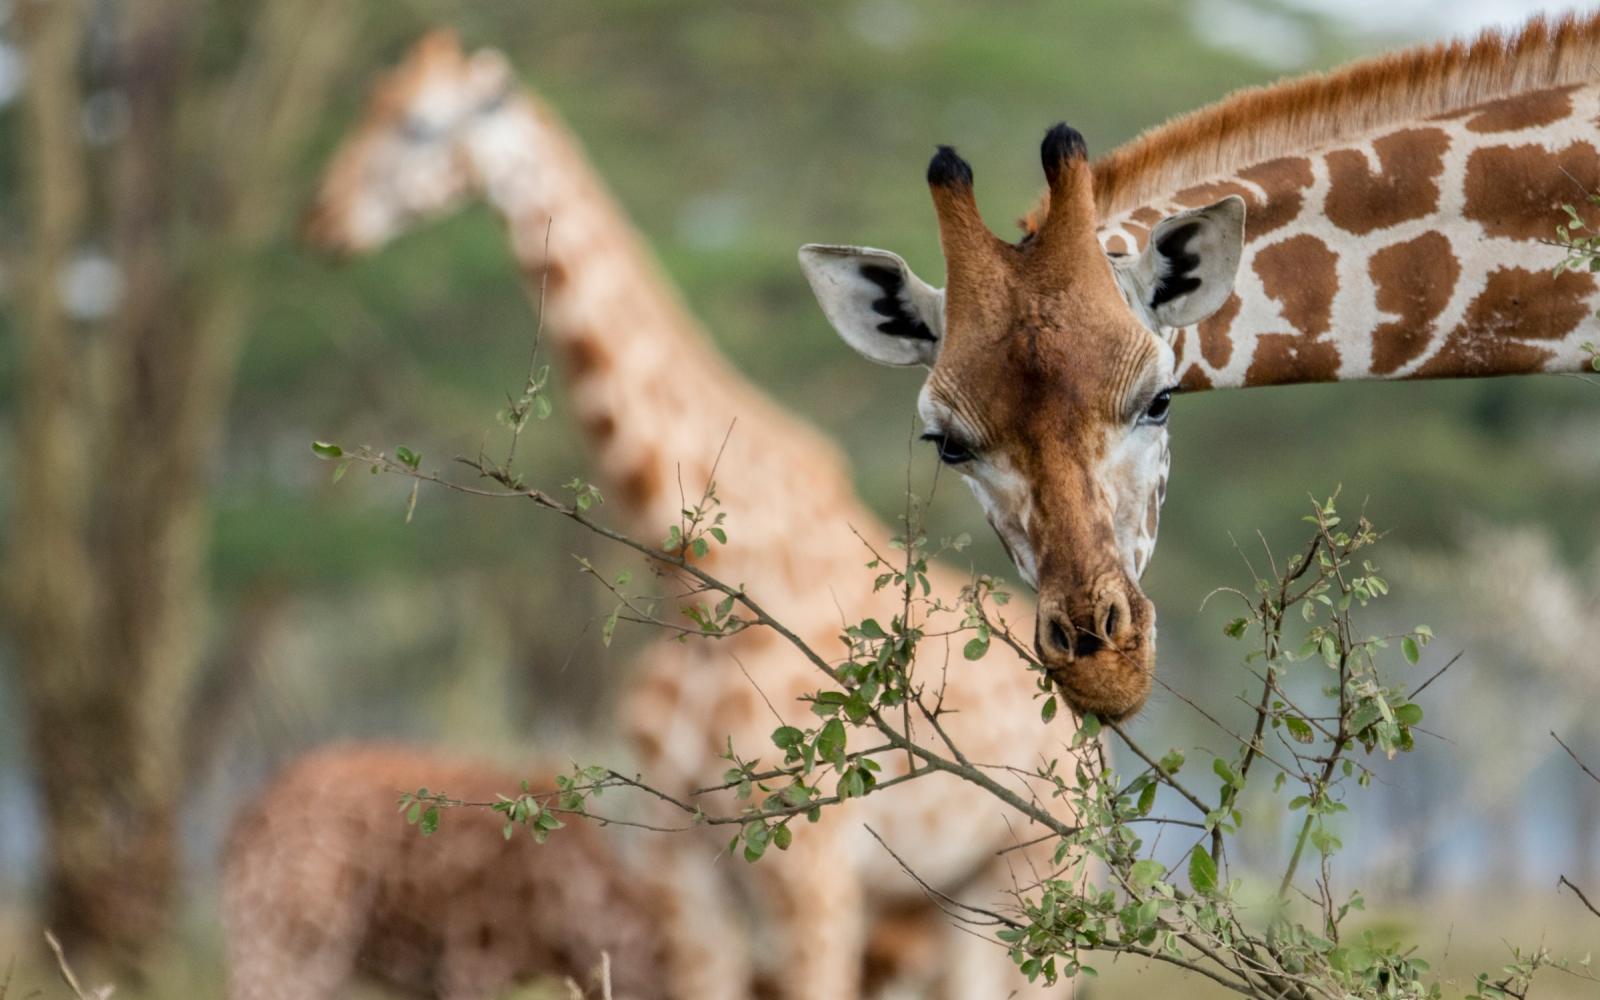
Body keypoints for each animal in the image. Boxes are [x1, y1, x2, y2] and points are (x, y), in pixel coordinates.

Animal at [302, 29, 1088, 998]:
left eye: (417, 124)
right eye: (368, 104)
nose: (322, 221)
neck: (701, 580)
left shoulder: (811, 863)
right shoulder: (680, 867)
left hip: (1035, 882)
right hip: (939, 906)